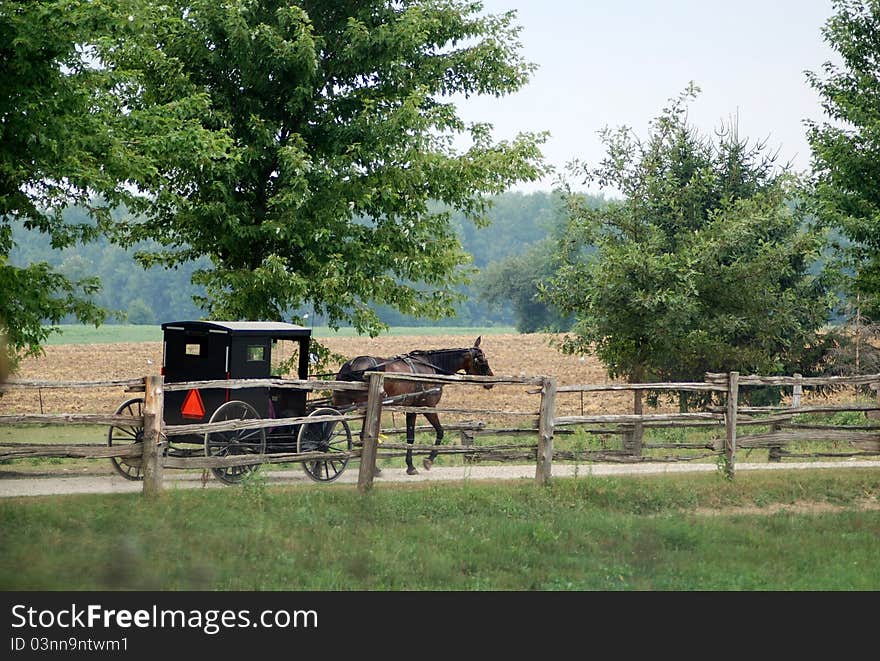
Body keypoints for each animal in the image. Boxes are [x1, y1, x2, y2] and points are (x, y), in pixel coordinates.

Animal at [332, 338, 496, 472]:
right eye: (482, 360)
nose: (491, 381)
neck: (432, 367)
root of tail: (352, 364)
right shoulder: (427, 407)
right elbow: (439, 431)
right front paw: (427, 461)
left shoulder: (411, 409)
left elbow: (410, 437)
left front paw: (410, 465)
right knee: (361, 434)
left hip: (342, 404)